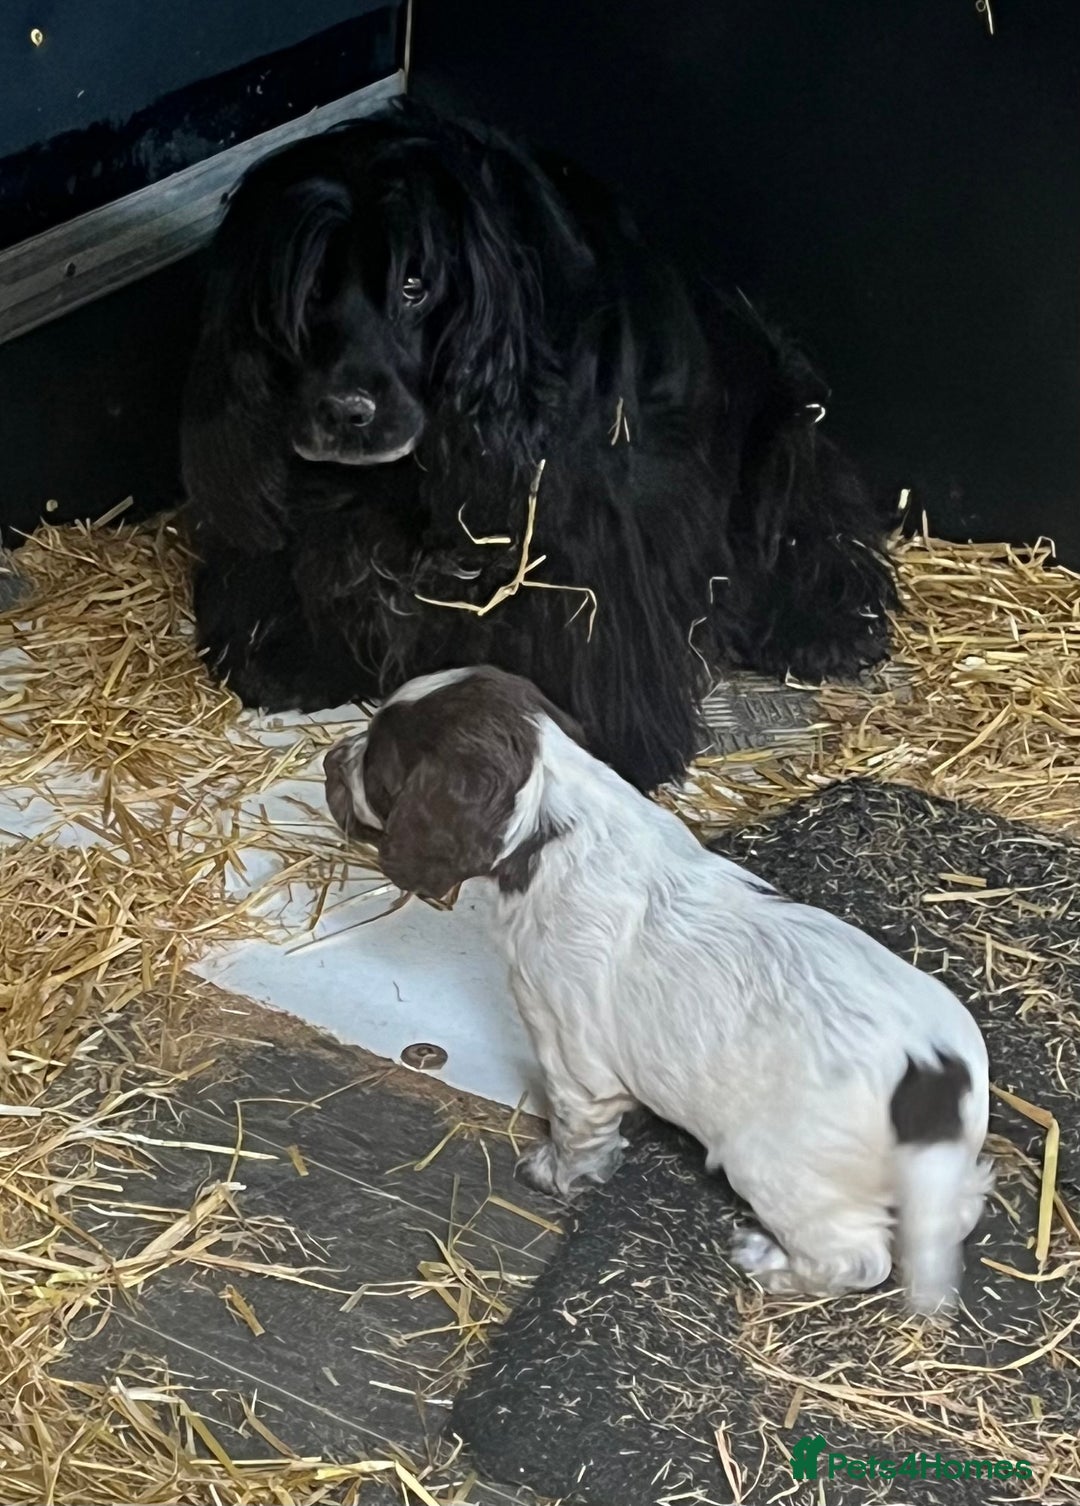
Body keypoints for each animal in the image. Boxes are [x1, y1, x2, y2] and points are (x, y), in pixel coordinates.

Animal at [182, 99, 897, 794]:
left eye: (414, 286)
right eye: (308, 292)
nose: (345, 411)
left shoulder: (587, 519)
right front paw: (290, 658)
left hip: (781, 429)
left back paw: (822, 627)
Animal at [324, 666, 991, 1314]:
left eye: (377, 760)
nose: (332, 759)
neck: (559, 827)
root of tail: (932, 1075)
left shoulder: (573, 1061)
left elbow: (576, 1135)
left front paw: (554, 1174)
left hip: (784, 1172)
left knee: (856, 1260)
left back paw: (769, 1262)